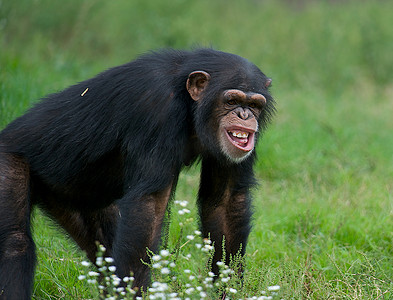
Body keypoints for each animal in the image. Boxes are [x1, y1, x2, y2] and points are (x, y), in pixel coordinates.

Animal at [0, 48, 272, 298]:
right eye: (231, 101)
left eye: (254, 104)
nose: (244, 114)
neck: (189, 103)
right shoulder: (157, 108)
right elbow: (148, 205)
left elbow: (225, 202)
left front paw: (228, 289)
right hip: (8, 161)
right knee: (14, 243)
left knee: (105, 249)